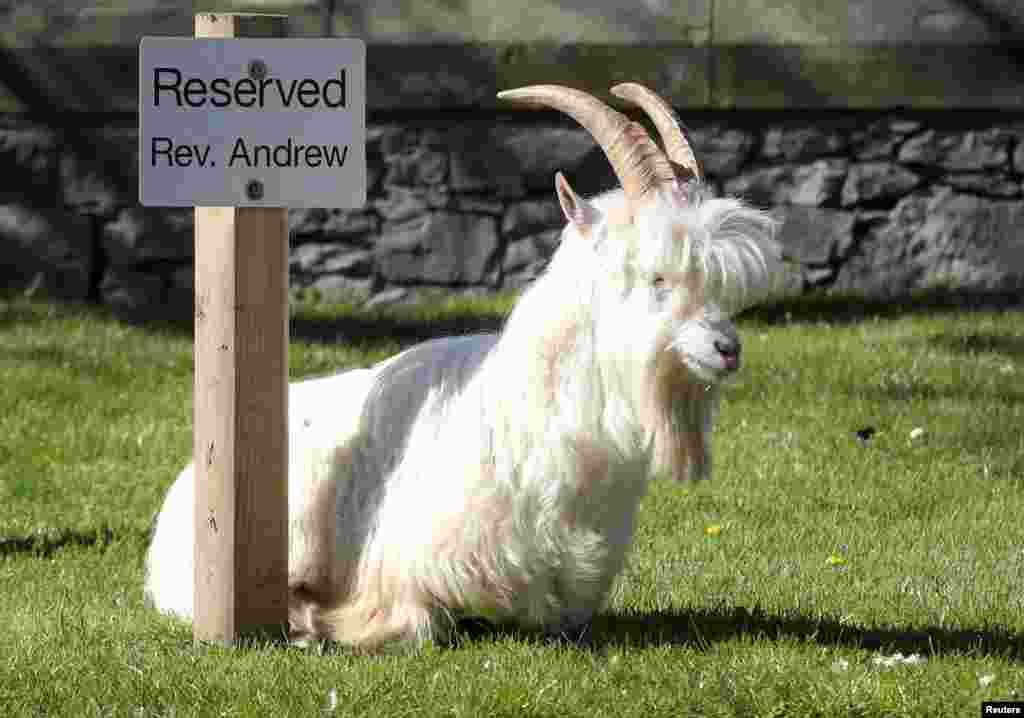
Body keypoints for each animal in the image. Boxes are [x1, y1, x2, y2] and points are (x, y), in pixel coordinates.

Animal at [144, 83, 778, 651]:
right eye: (655, 276)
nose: (727, 349)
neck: (526, 424)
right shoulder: (404, 575)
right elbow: (417, 624)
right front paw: (324, 625)